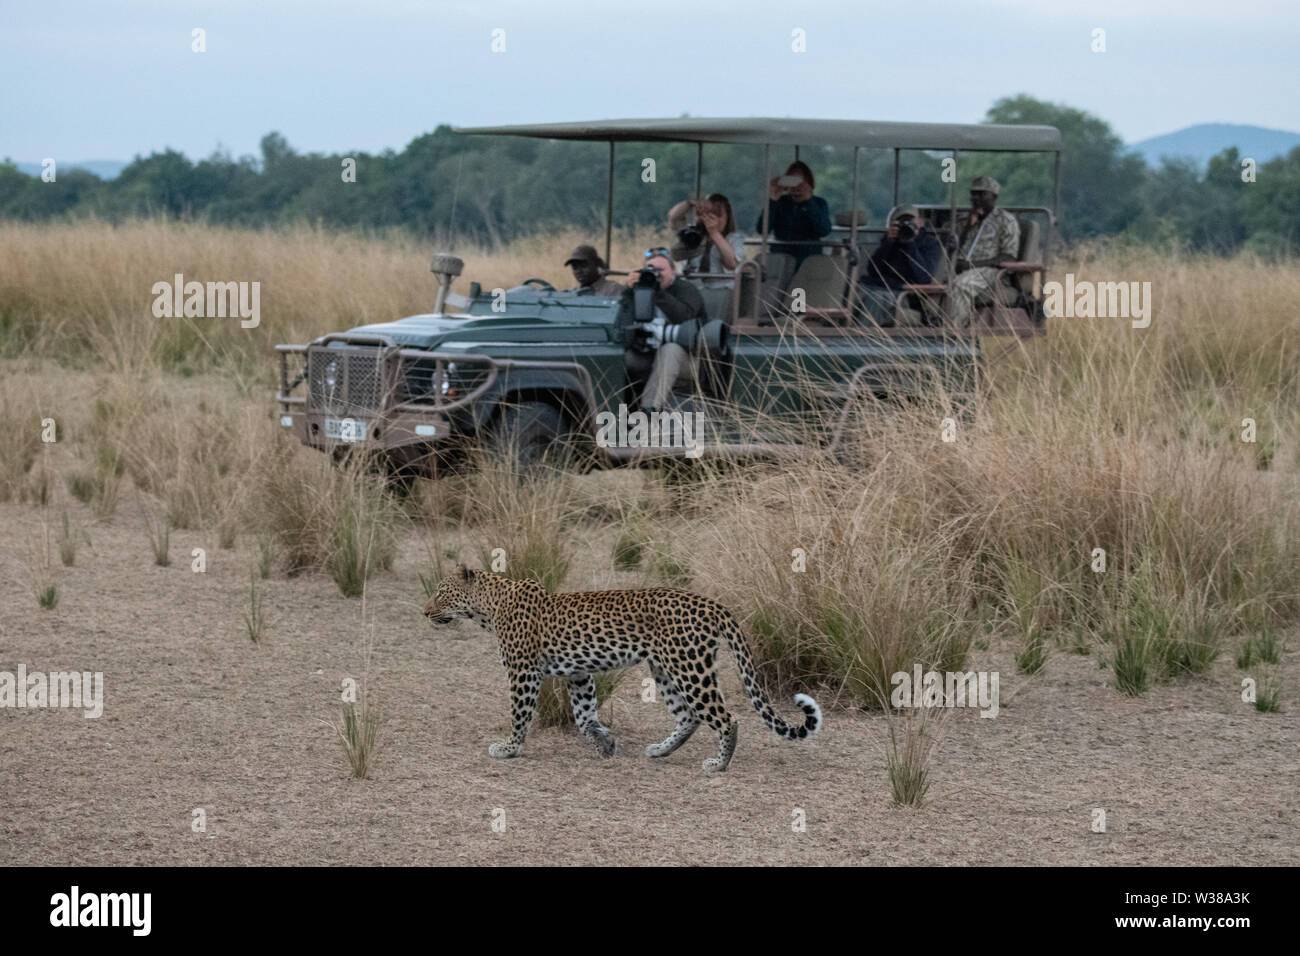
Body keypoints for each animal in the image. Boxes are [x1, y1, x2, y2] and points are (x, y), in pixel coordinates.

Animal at [421, 564, 816, 775]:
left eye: (441, 591)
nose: (424, 612)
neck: (488, 607)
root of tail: (710, 603)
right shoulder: (578, 674)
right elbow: (584, 717)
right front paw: (606, 743)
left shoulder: (523, 672)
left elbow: (520, 714)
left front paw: (509, 748)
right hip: (665, 668)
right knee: (688, 716)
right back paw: (660, 751)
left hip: (689, 668)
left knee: (725, 717)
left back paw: (718, 764)